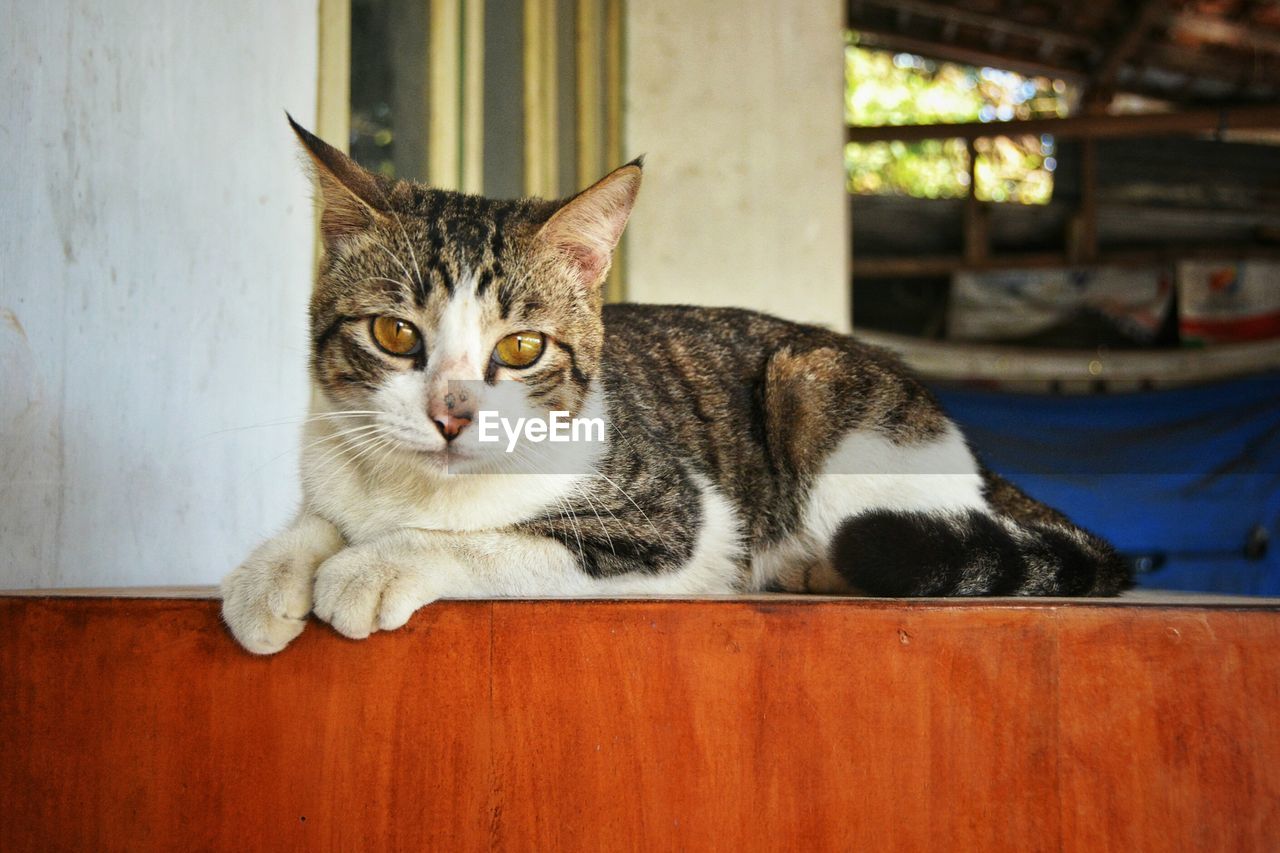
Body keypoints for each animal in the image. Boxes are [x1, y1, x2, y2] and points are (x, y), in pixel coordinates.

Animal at [220, 117, 1131, 650]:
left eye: (522, 347)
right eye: (394, 333)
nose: (450, 414)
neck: (413, 489)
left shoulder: (677, 523)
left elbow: (493, 540)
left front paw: (373, 565)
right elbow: (321, 516)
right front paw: (268, 573)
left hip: (818, 393)